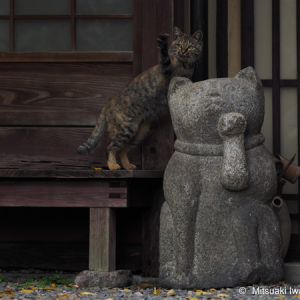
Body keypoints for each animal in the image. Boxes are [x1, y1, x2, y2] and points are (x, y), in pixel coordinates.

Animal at [77, 27, 204, 171]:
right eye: (178, 45)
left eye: (190, 47)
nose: (182, 51)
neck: (184, 66)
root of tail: (109, 103)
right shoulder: (165, 70)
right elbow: (165, 58)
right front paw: (163, 45)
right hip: (125, 129)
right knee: (110, 147)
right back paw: (112, 165)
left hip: (139, 132)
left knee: (122, 150)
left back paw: (127, 165)